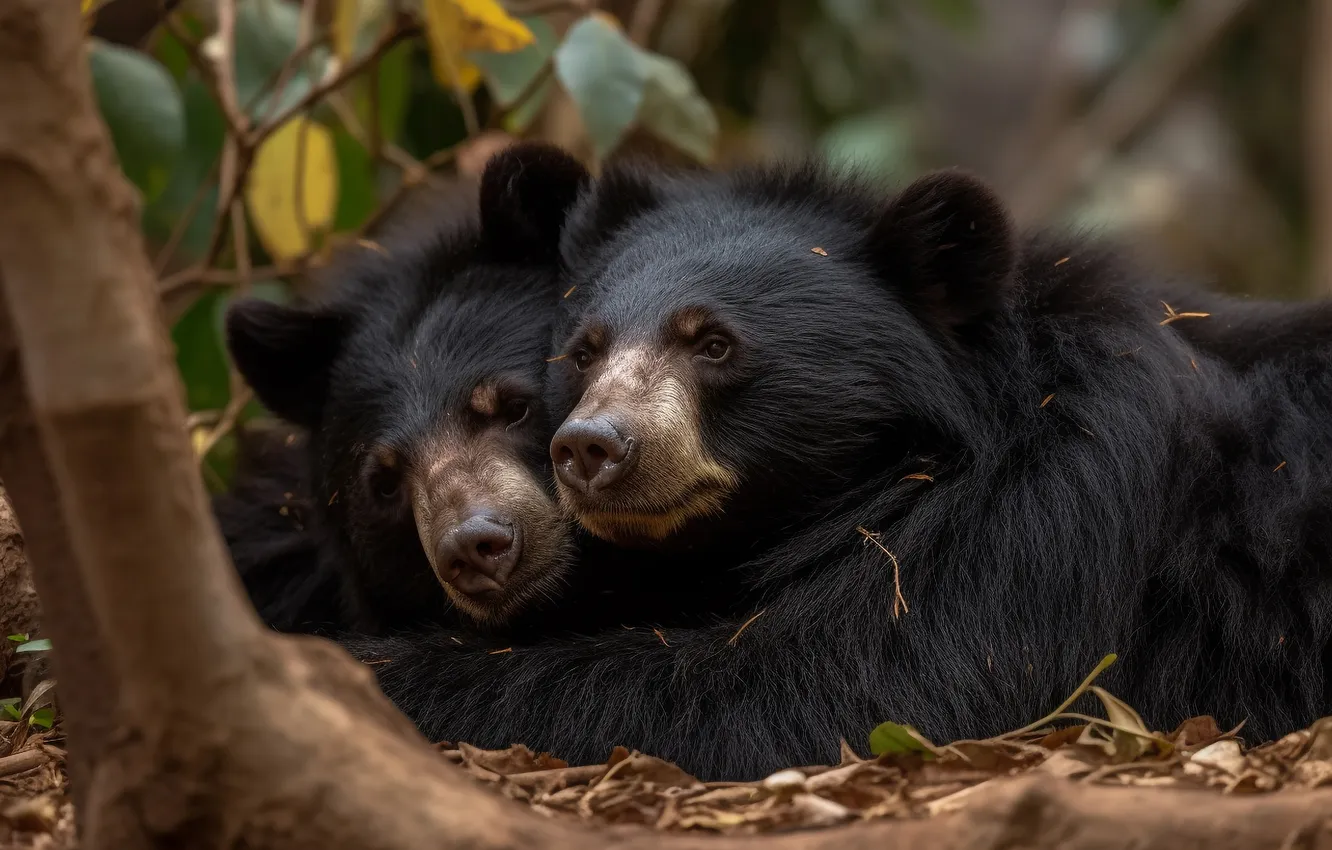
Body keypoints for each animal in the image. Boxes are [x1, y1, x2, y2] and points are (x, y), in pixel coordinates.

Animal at [339, 149, 1332, 782]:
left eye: (714, 343)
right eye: (582, 351)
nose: (591, 447)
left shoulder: (1062, 500)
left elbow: (846, 683)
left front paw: (377, 669)